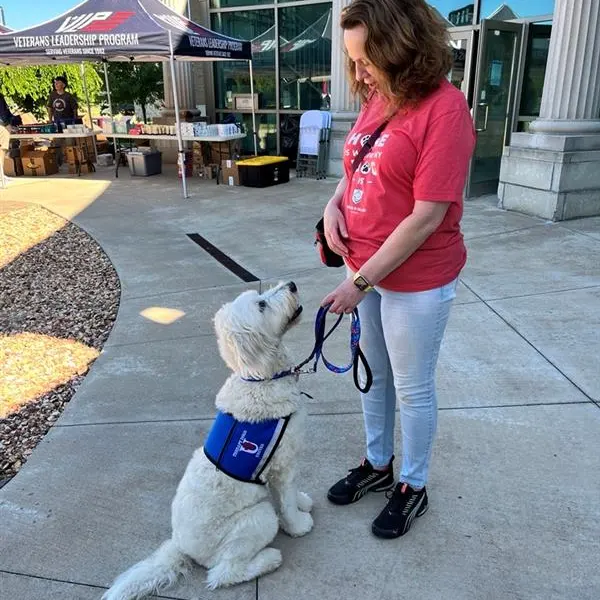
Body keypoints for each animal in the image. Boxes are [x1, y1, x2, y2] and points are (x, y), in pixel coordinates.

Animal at [102, 282, 314, 600]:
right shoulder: (284, 462)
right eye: (262, 305)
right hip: (257, 518)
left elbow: (289, 494)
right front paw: (299, 524)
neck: (259, 380)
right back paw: (268, 559)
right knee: (223, 573)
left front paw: (302, 501)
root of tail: (181, 546)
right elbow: (287, 502)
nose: (291, 285)